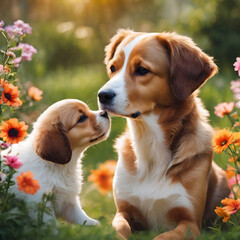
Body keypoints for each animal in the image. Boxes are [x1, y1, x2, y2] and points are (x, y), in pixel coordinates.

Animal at [98, 30, 231, 240]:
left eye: (142, 70)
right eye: (113, 68)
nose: (102, 95)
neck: (150, 142)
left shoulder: (190, 222)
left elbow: (162, 236)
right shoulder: (123, 212)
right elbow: (118, 230)